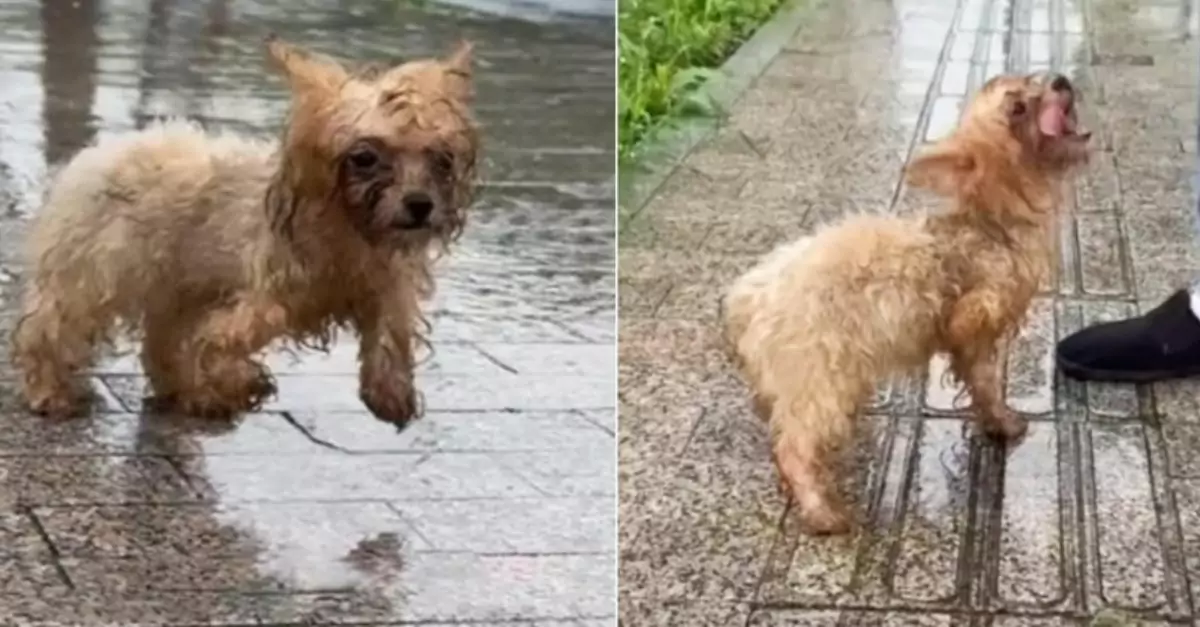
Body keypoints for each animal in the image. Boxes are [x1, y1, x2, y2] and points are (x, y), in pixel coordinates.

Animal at [11, 35, 477, 425]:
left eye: (442, 159)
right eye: (364, 157)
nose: (420, 205)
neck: (348, 228)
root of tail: (99, 152)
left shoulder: (381, 282)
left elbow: (391, 329)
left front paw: (389, 393)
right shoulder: (267, 295)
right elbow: (226, 338)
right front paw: (241, 381)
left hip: (178, 285)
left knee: (162, 341)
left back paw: (187, 393)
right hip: (98, 271)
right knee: (50, 328)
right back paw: (50, 390)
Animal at [724, 72, 1094, 530]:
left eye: (1030, 79)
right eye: (1018, 108)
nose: (1060, 79)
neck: (994, 226)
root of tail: (749, 299)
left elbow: (980, 383)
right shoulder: (974, 322)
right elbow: (986, 382)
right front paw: (1004, 423)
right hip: (818, 378)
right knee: (793, 446)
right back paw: (822, 511)